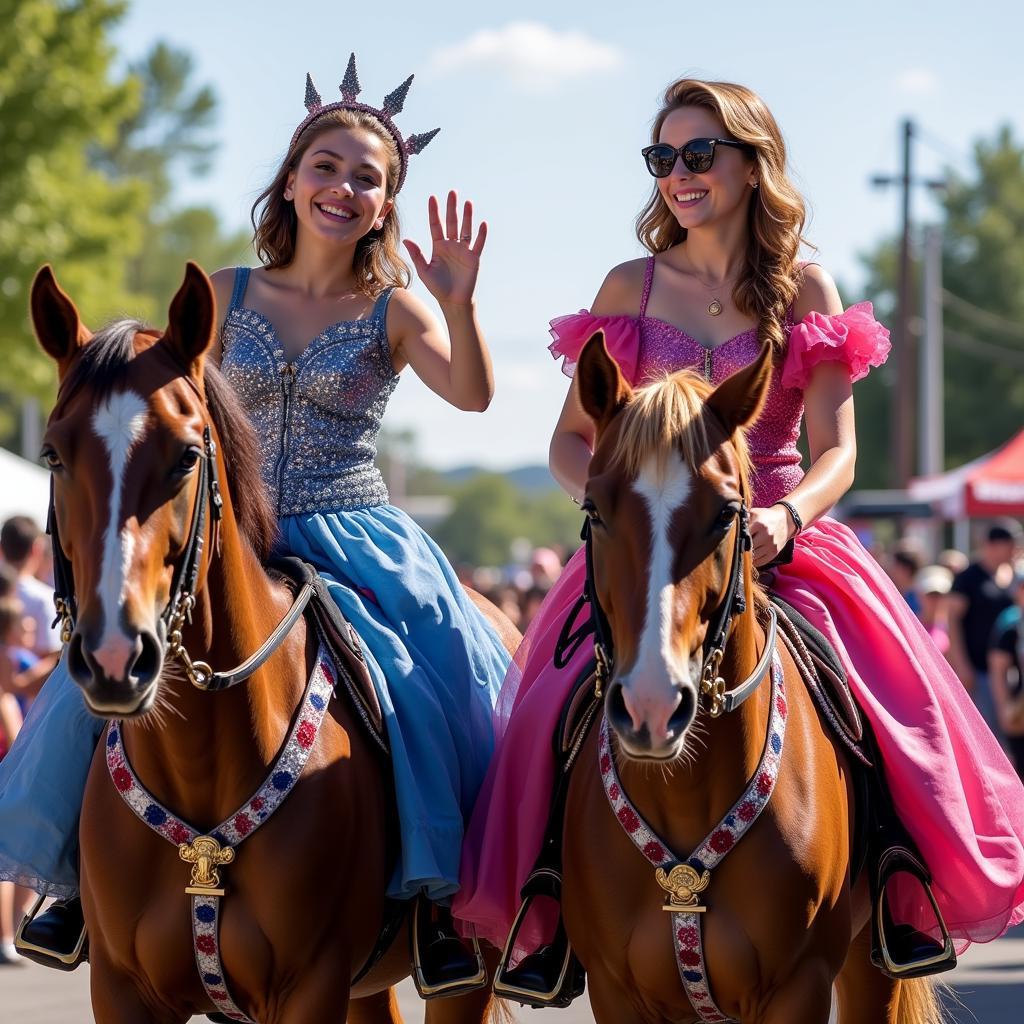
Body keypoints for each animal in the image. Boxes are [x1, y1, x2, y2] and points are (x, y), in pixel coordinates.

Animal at [30, 264, 516, 1024]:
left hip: (465, 974)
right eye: (53, 453)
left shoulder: (308, 987)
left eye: (187, 456)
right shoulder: (122, 989)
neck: (199, 765)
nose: (115, 658)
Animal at [561, 335, 942, 1024]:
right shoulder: (615, 990)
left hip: (870, 964)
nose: (653, 706)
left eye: (726, 515)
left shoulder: (799, 985)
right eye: (594, 509)